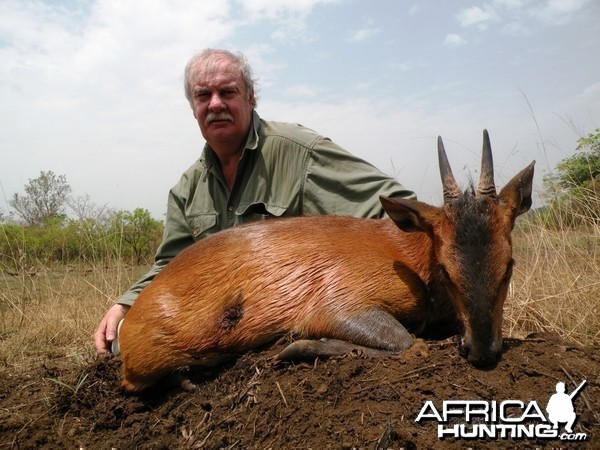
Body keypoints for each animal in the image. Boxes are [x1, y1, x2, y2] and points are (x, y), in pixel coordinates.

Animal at [117, 130, 536, 390]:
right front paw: (297, 346)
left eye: (510, 264)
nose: (483, 352)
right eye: (446, 269)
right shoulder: (338, 303)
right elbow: (408, 343)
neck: (408, 256)